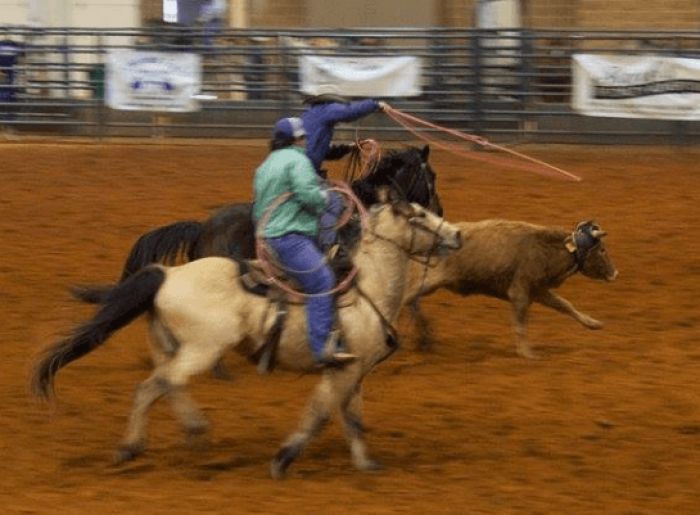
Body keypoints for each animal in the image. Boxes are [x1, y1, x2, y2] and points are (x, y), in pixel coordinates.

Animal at [404, 219, 616, 358]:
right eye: (602, 250)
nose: (615, 273)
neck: (546, 247)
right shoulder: (520, 292)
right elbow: (520, 322)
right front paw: (526, 352)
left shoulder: (538, 290)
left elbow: (566, 305)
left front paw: (592, 323)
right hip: (425, 280)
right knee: (407, 299)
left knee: (411, 303)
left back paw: (425, 337)